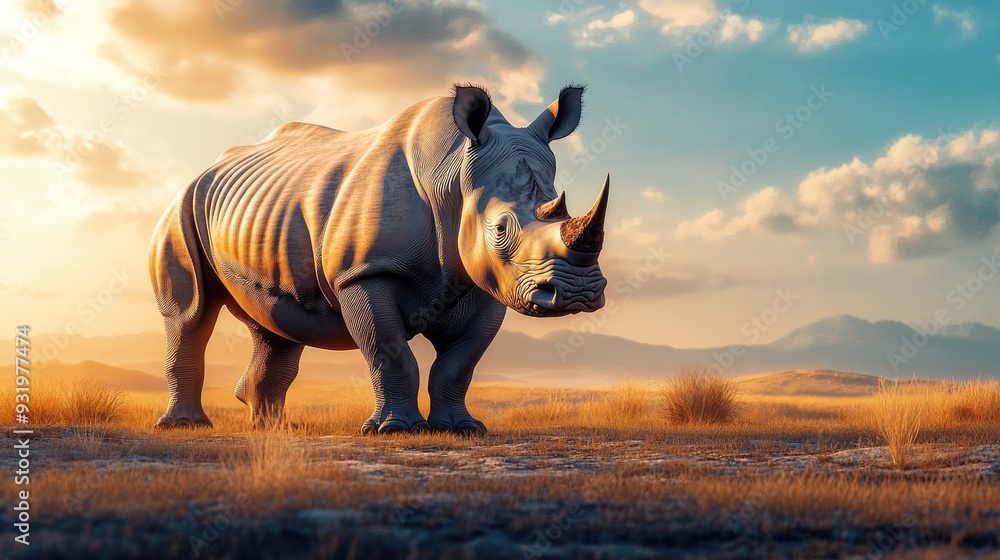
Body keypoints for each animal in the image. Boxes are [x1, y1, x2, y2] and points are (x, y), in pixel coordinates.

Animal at [149, 84, 610, 435]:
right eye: (499, 229)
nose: (577, 293)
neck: (452, 177)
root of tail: (207, 168)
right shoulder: (365, 272)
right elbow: (389, 350)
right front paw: (394, 430)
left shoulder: (488, 281)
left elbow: (459, 364)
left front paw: (461, 429)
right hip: (180, 209)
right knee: (189, 315)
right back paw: (185, 426)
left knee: (277, 326)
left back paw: (274, 429)